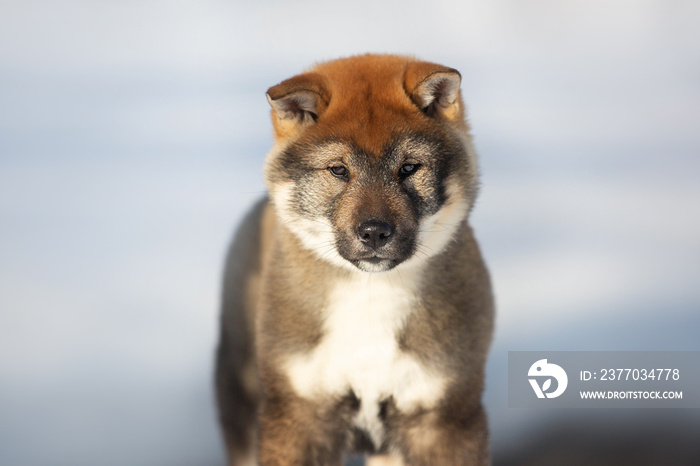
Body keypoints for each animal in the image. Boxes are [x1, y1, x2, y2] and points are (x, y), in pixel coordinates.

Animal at [216, 52, 494, 464]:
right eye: (338, 169)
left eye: (409, 168)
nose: (375, 232)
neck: (370, 296)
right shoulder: (298, 412)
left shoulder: (444, 413)